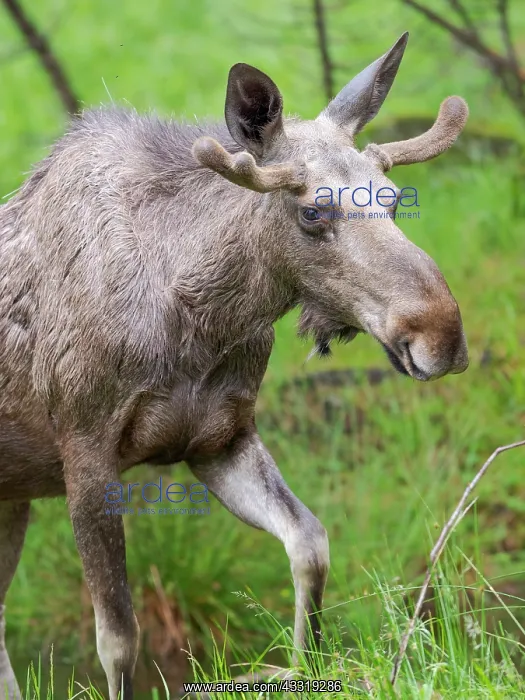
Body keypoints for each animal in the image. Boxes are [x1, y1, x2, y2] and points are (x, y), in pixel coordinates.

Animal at [0, 32, 469, 699]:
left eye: (395, 196)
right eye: (312, 212)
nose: (441, 333)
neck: (200, 322)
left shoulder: (219, 439)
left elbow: (311, 543)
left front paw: (308, 664)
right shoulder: (85, 448)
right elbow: (117, 639)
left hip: (11, 496)